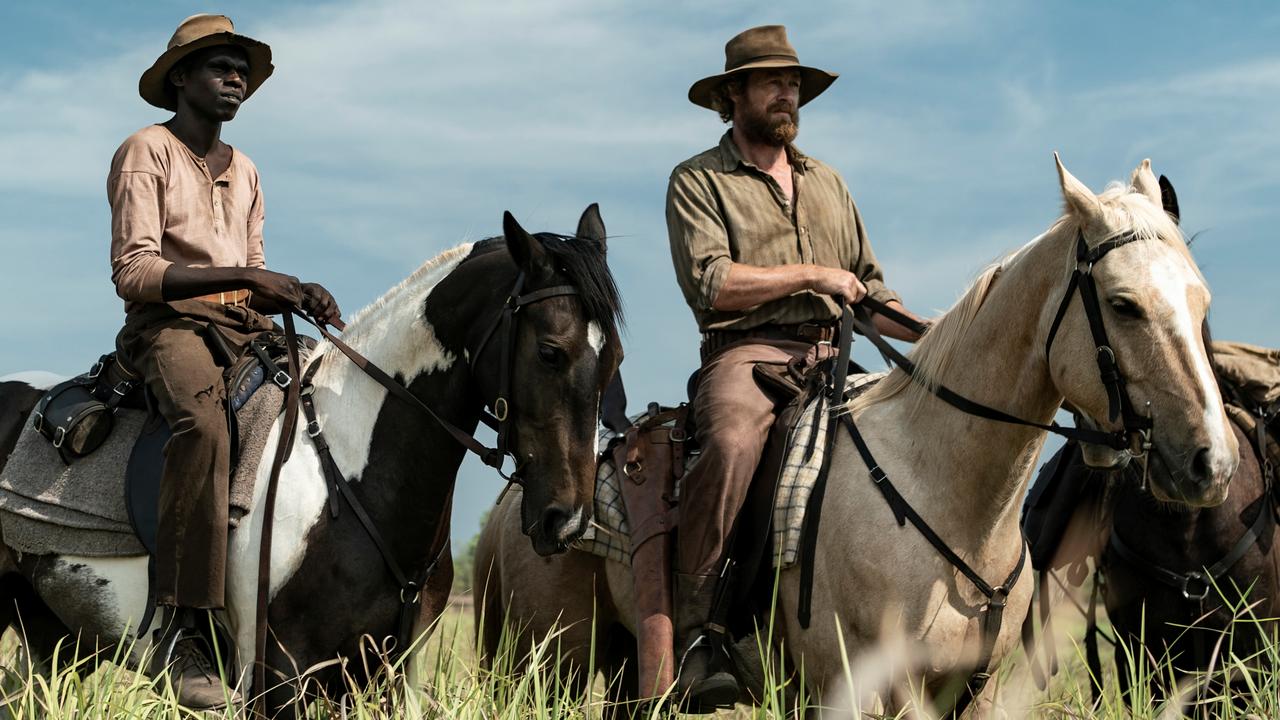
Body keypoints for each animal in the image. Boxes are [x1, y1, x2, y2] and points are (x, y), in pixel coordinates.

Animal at [0, 203, 624, 707]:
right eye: (551, 351)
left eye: (613, 357)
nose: (565, 520)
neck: (348, 478)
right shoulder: (280, 677)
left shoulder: (386, 676)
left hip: (50, 642)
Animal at [473, 156, 1239, 712]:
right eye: (1124, 304)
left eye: (1203, 299)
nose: (1212, 463)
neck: (948, 499)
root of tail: (520, 504)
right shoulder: (863, 691)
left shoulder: (978, 694)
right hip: (549, 666)